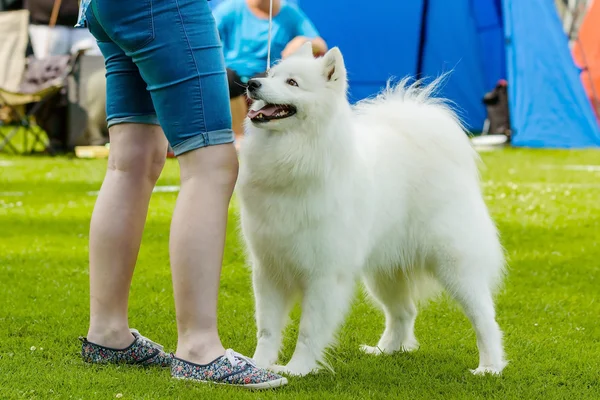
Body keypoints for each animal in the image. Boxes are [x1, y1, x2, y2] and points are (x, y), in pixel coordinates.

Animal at [234, 42, 506, 376]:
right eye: (272, 75)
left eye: (292, 83)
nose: (252, 84)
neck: (295, 155)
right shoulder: (269, 269)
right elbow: (267, 329)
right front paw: (257, 366)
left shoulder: (324, 274)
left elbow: (309, 330)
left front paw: (297, 369)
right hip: (384, 272)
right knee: (404, 311)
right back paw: (385, 350)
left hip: (455, 266)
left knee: (485, 318)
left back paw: (490, 367)